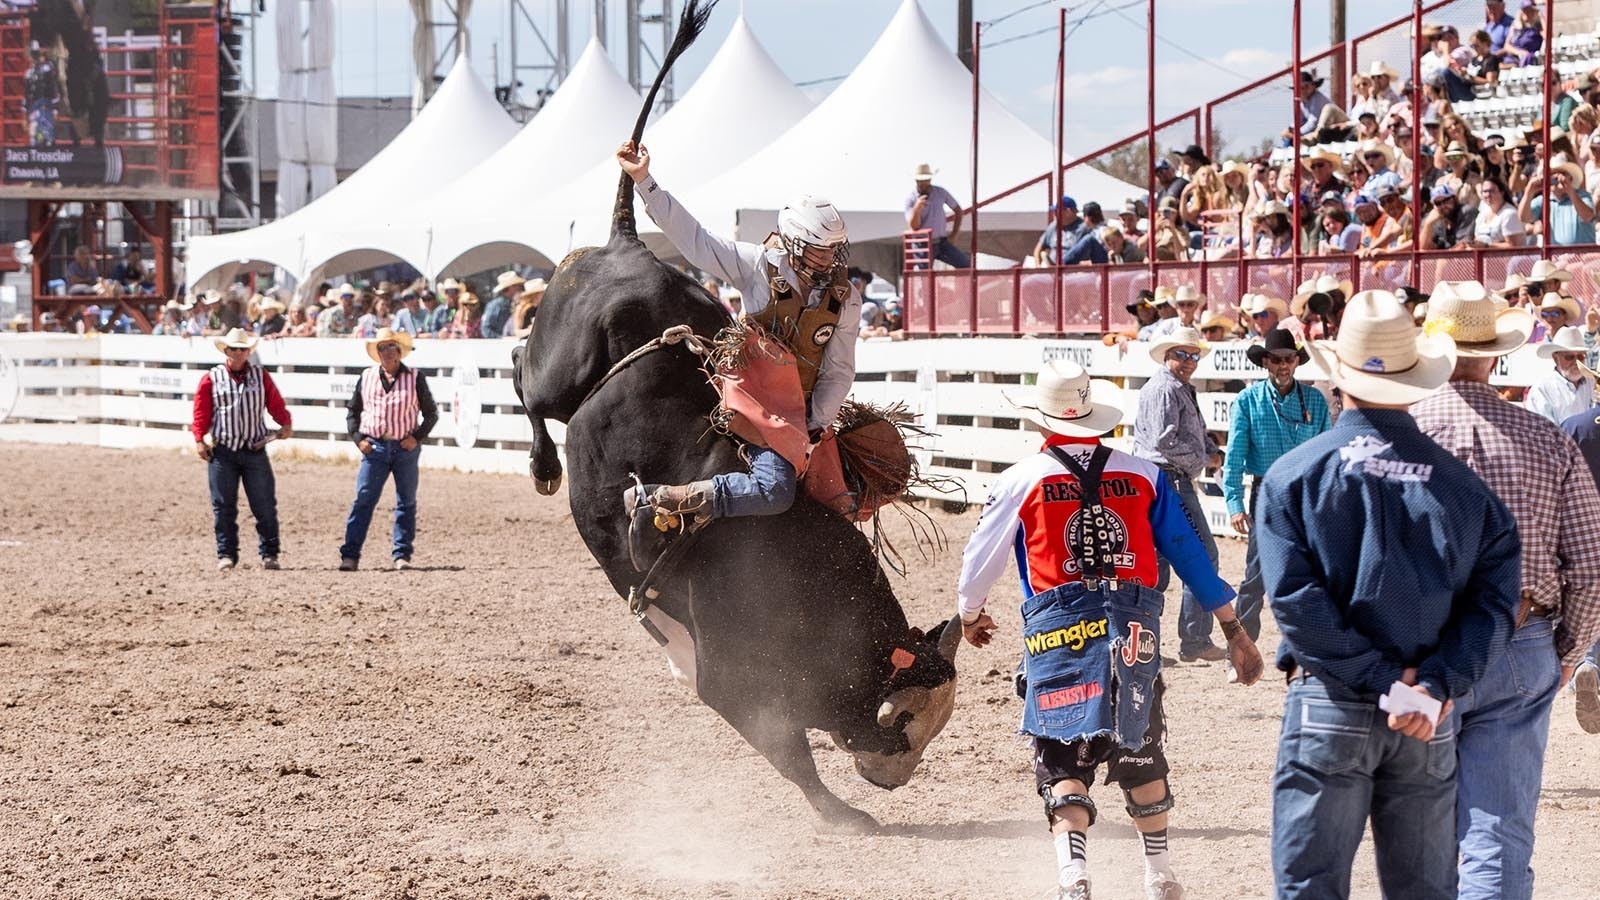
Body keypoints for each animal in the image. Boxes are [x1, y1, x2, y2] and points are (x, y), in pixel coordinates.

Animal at [512, 0, 960, 832]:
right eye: (904, 726)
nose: (896, 778)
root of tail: (625, 245)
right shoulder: (733, 673)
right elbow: (786, 747)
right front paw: (840, 812)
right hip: (558, 362)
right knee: (523, 375)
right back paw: (544, 465)